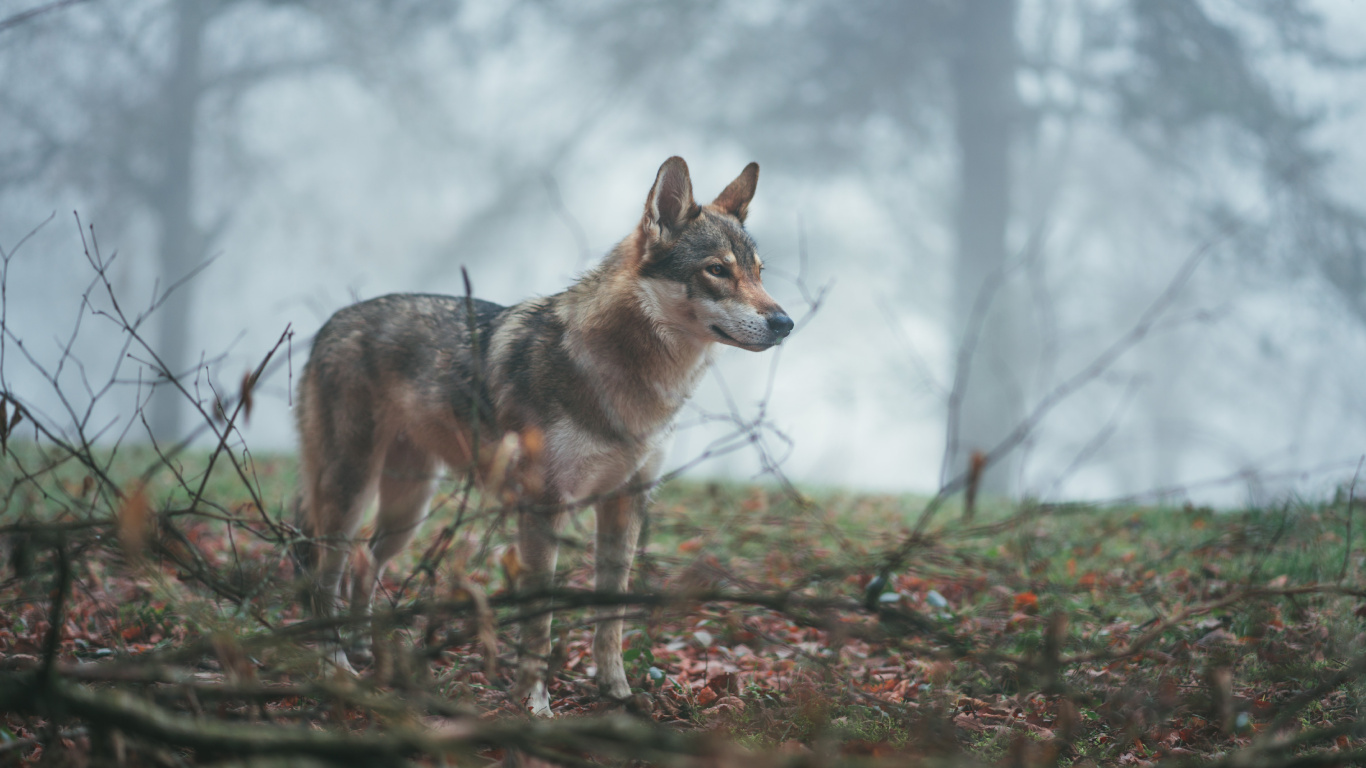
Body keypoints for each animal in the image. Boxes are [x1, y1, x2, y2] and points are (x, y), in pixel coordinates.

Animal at [295, 156, 792, 715]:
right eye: (718, 270)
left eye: (759, 273)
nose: (785, 322)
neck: (628, 380)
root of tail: (331, 323)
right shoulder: (542, 508)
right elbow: (541, 622)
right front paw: (534, 703)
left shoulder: (626, 503)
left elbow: (610, 617)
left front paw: (617, 693)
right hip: (351, 493)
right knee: (324, 576)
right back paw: (336, 666)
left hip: (408, 509)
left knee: (363, 562)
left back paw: (363, 649)